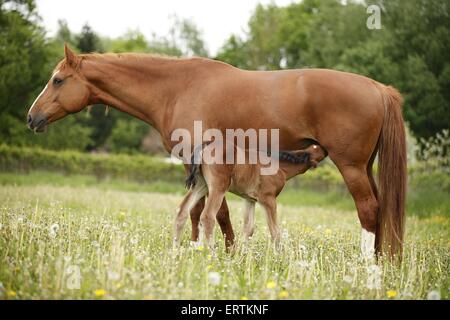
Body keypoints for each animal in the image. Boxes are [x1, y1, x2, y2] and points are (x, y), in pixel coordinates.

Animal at [173, 144, 326, 249]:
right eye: (317, 148)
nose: (326, 149)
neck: (279, 166)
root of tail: (204, 147)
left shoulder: (249, 199)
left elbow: (248, 229)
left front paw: (242, 256)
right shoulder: (268, 199)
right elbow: (275, 232)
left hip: (201, 185)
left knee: (182, 211)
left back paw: (175, 252)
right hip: (217, 188)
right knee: (207, 216)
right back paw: (212, 254)